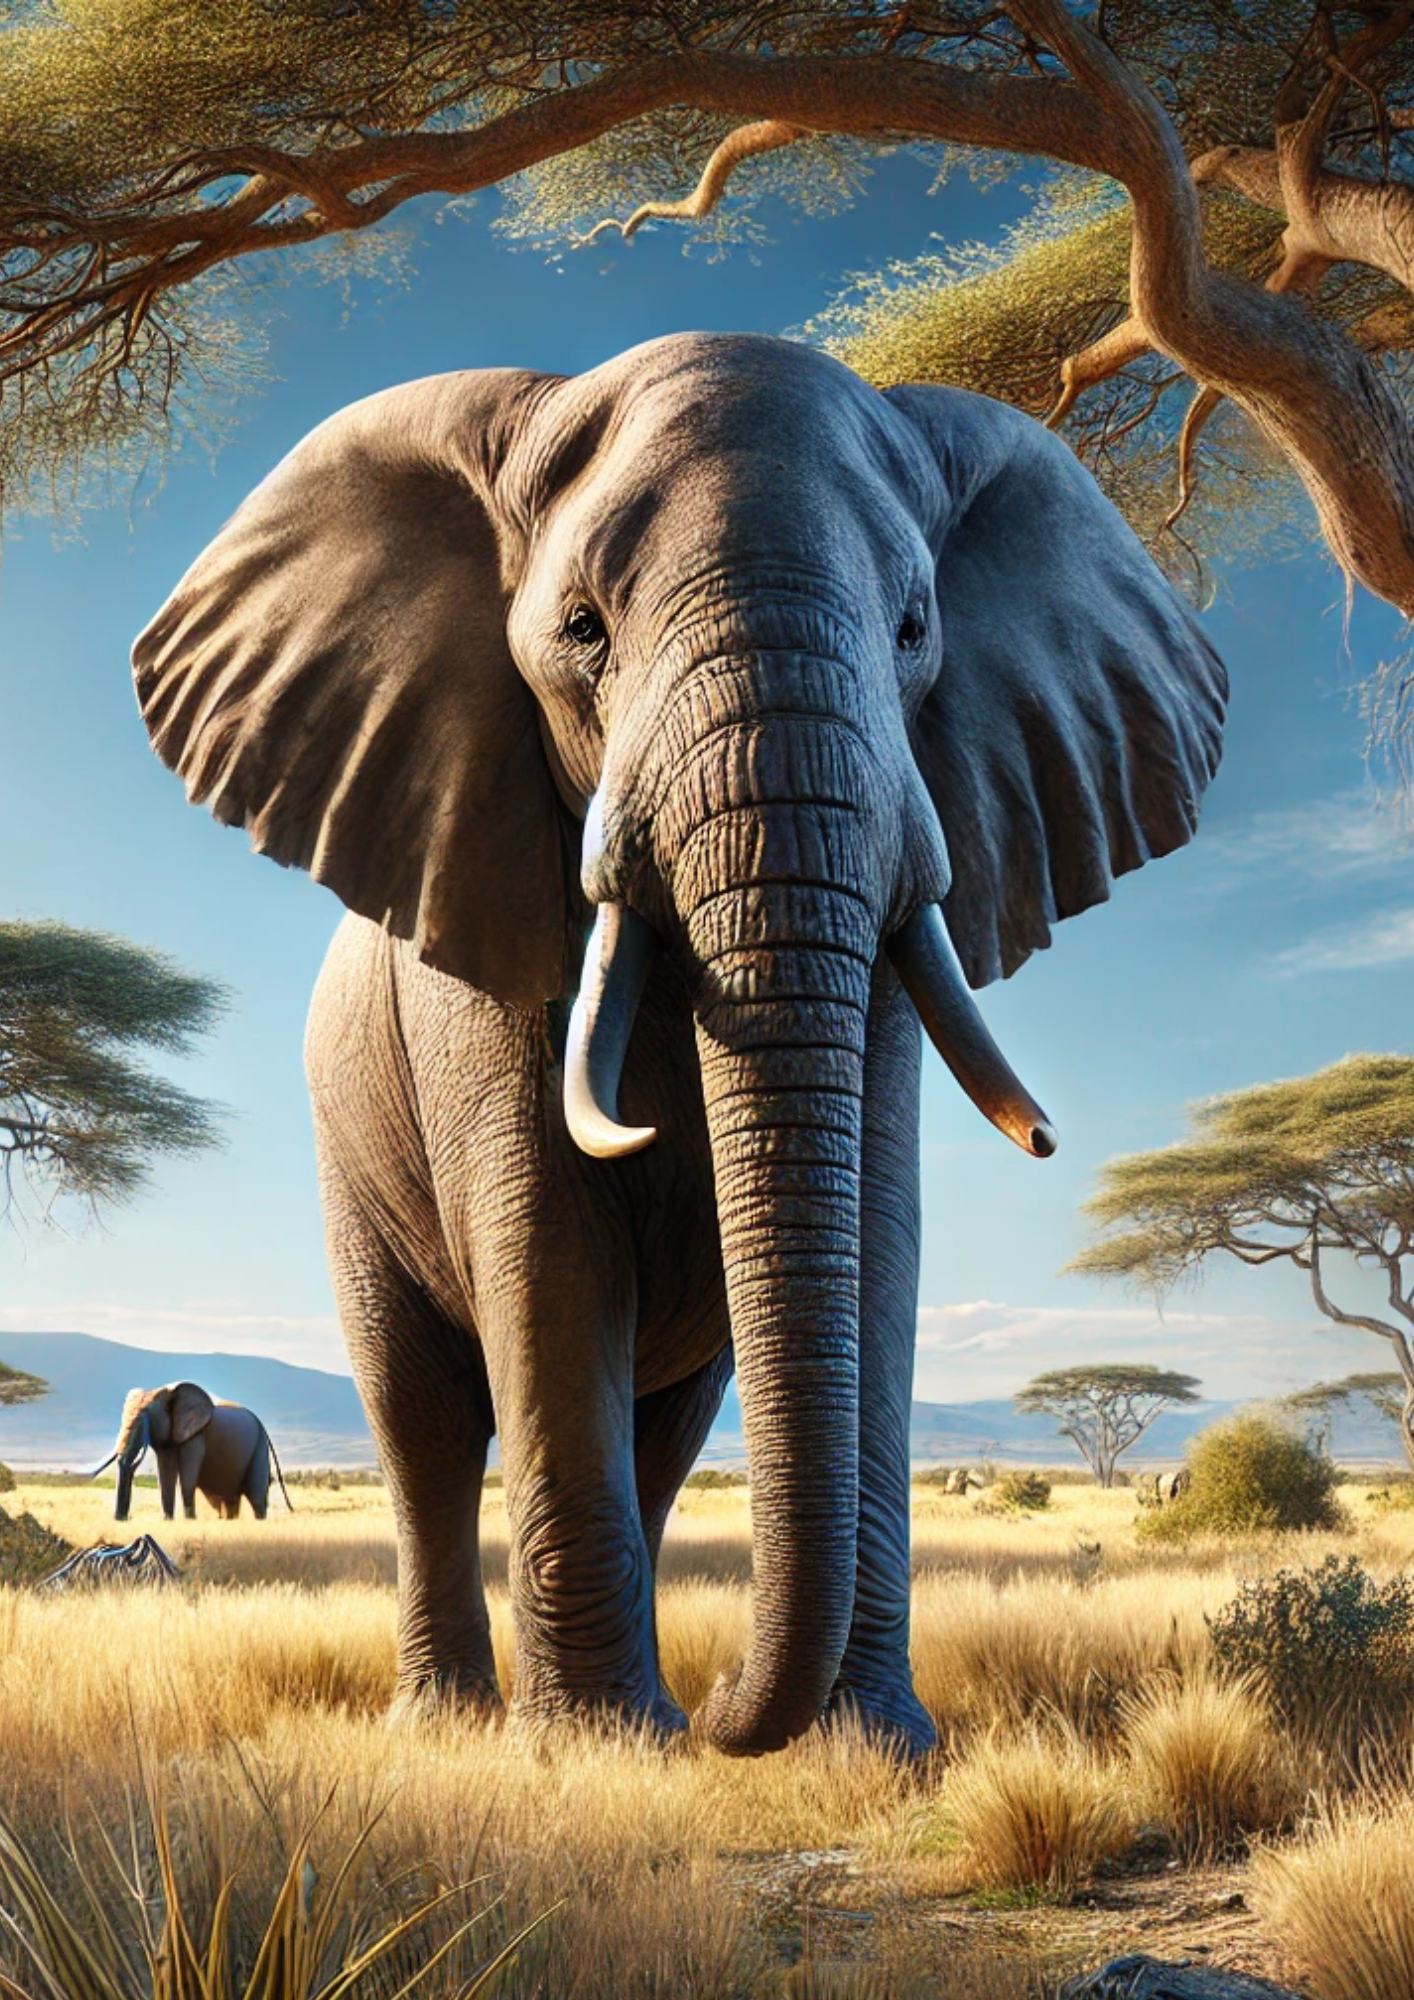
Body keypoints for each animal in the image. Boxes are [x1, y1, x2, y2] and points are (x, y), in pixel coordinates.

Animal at [97, 1382, 287, 1522]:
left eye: (147, 1418)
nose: (124, 1518)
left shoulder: (197, 1436)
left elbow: (188, 1476)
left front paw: (190, 1520)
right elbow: (165, 1475)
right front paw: (168, 1521)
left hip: (260, 1447)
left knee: (256, 1496)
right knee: (231, 1500)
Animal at [132, 331, 1225, 1755]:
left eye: (914, 628)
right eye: (583, 631)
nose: (723, 1713)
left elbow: (876, 1233)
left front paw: (879, 1746)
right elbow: (547, 1244)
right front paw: (594, 1745)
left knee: (661, 1425)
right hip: (348, 1155)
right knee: (423, 1420)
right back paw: (460, 1720)